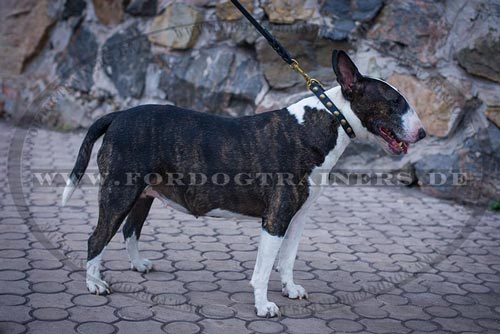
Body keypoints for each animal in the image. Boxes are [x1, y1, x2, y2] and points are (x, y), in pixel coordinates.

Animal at [62, 51, 426, 318]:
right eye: (394, 102)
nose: (423, 133)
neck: (324, 120)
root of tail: (117, 115)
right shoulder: (276, 218)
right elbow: (263, 269)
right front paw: (264, 306)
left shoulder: (298, 217)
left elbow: (287, 259)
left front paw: (290, 289)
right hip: (120, 192)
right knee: (97, 237)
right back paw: (95, 284)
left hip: (144, 193)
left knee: (130, 229)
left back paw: (137, 264)